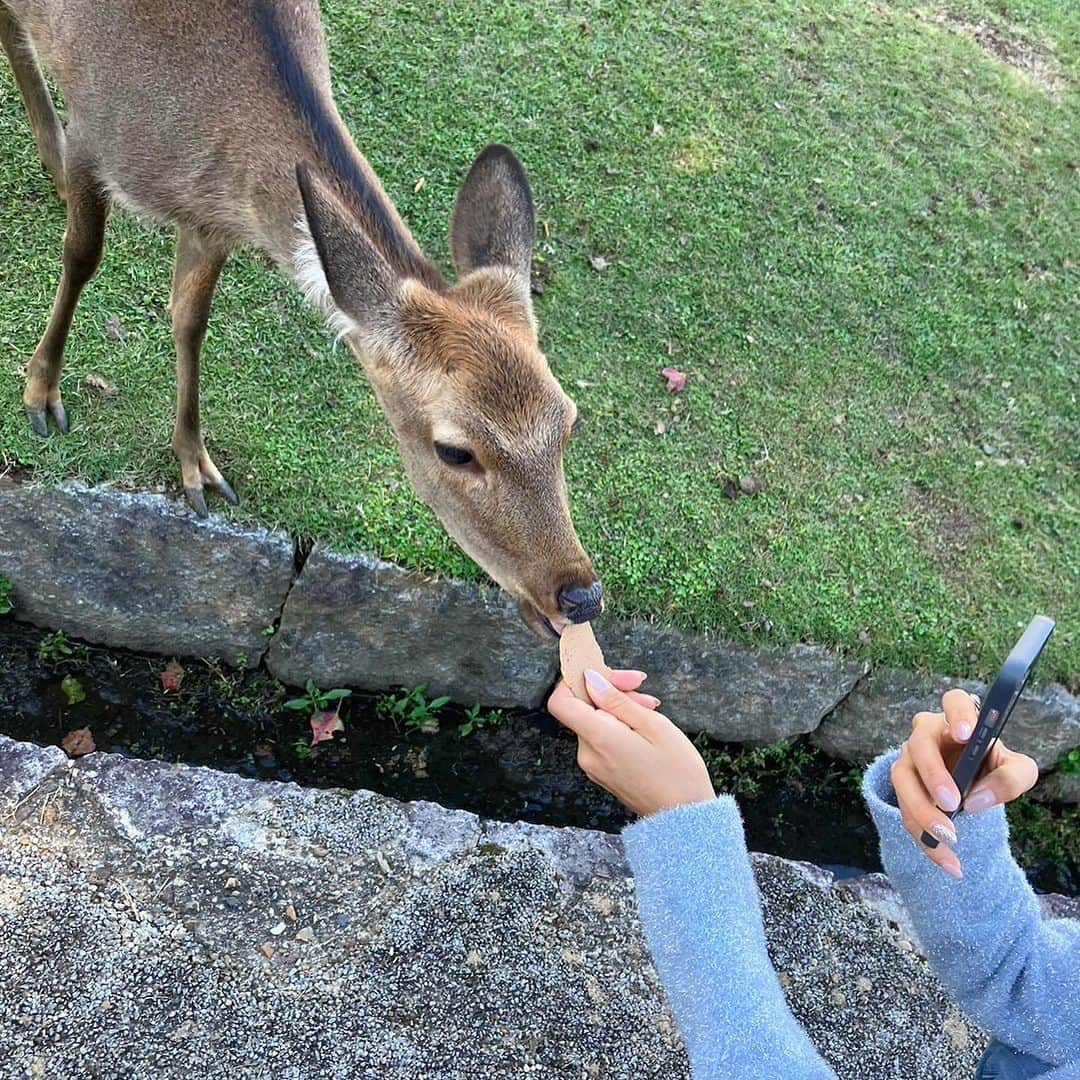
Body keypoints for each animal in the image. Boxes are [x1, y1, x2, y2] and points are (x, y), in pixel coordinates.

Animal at [0, 0, 600, 635]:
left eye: (569, 422)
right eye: (455, 451)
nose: (581, 596)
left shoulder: (209, 221)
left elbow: (190, 319)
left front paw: (196, 467)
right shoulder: (94, 131)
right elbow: (81, 256)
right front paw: (41, 394)